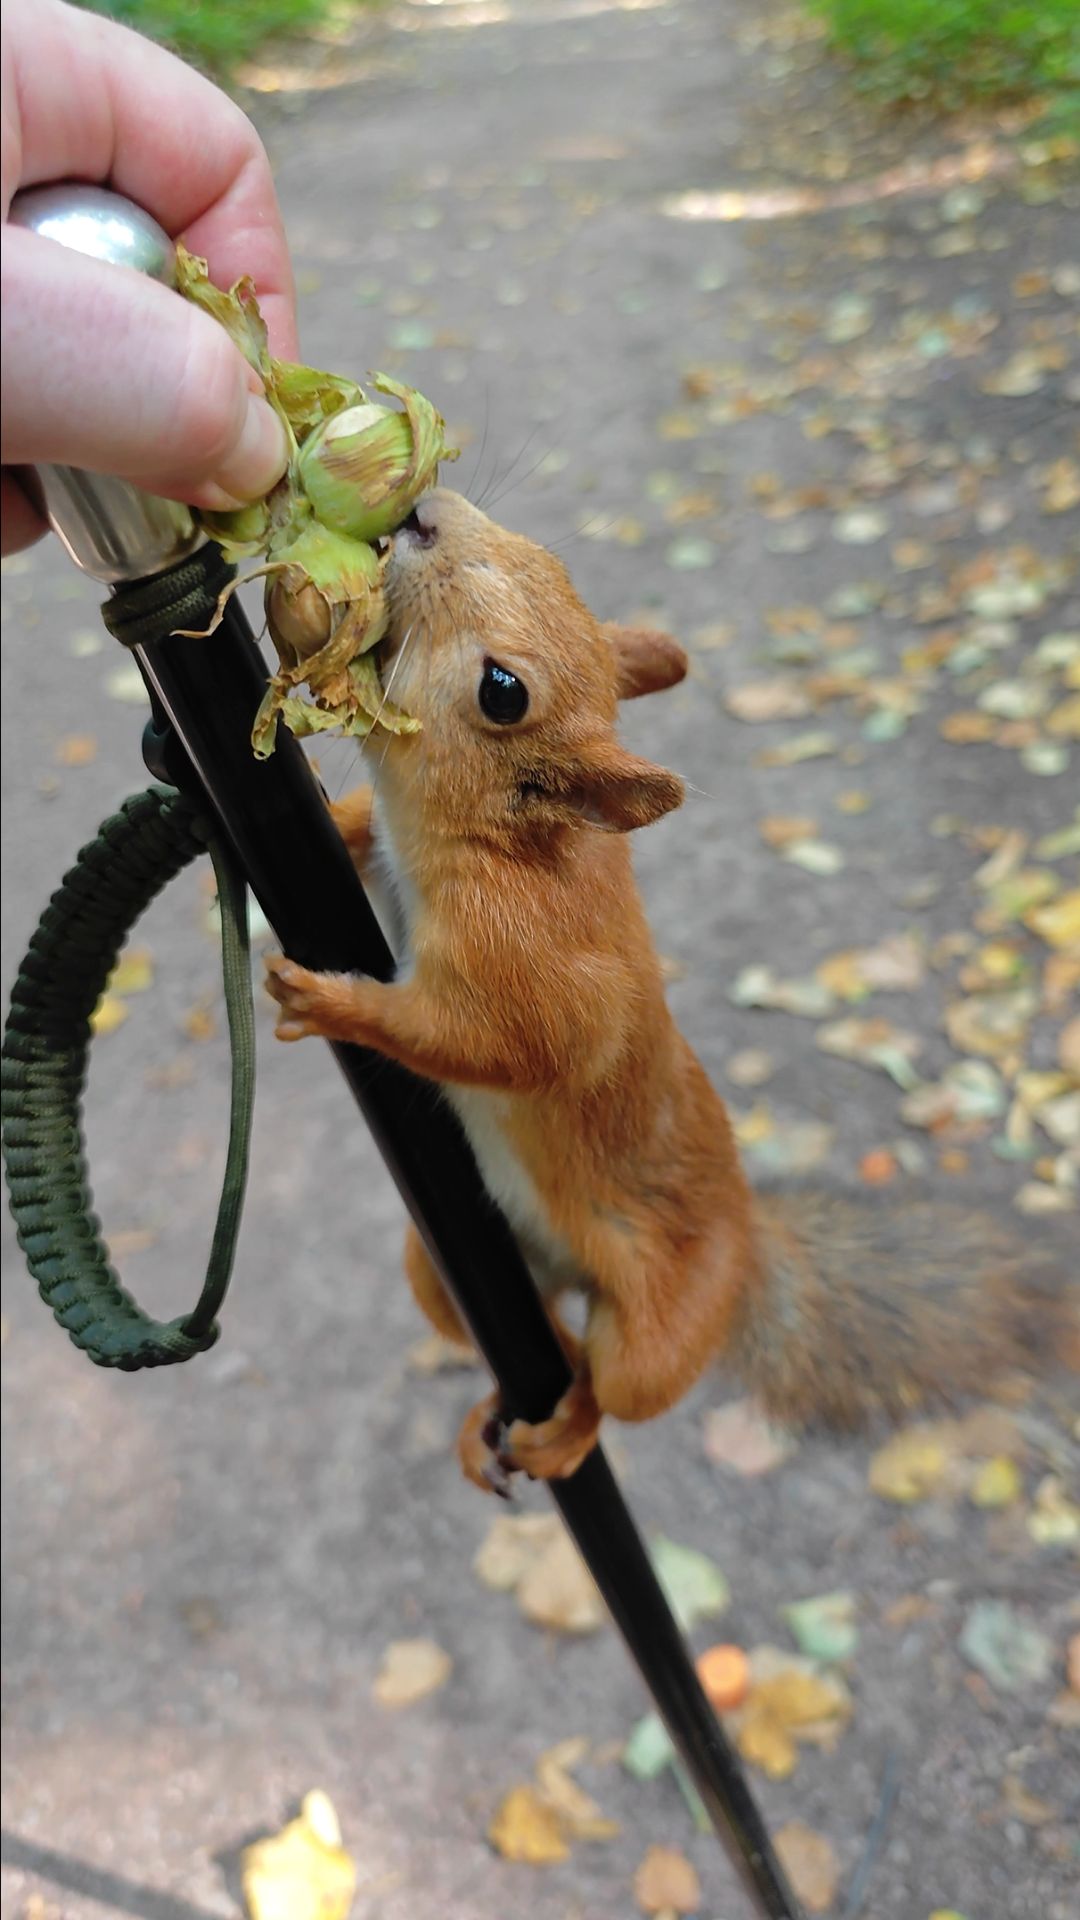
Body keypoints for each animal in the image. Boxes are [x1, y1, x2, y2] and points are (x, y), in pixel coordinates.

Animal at [266, 488, 1074, 1491]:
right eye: (552, 559)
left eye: (504, 692)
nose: (422, 513)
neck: (497, 847)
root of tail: (748, 1244)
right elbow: (353, 826)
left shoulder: (534, 970)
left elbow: (495, 1044)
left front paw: (327, 1004)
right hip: (445, 1274)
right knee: (549, 1344)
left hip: (663, 1323)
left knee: (616, 1385)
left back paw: (571, 1429)